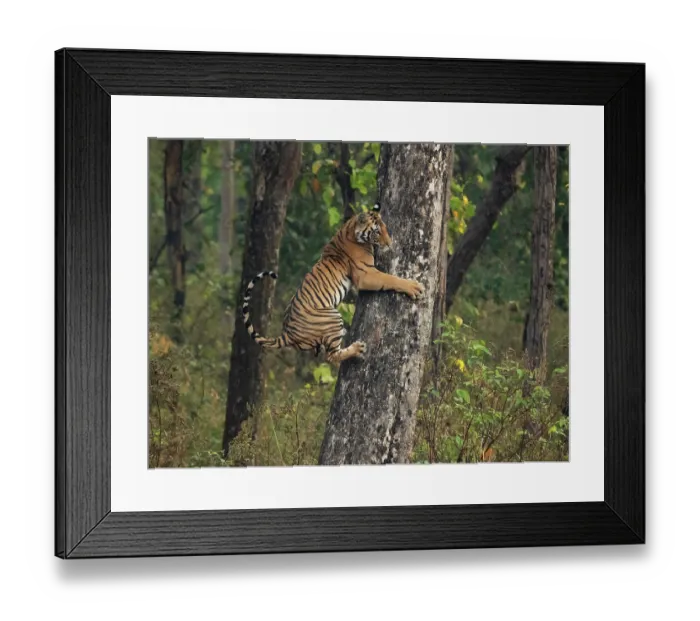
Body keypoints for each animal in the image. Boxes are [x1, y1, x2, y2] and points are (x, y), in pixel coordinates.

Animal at [241, 203, 425, 365]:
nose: (389, 243)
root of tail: (286, 334)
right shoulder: (366, 275)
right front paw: (414, 287)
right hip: (332, 317)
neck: (350, 228)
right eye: (377, 232)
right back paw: (357, 348)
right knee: (331, 357)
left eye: (385, 228)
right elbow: (390, 278)